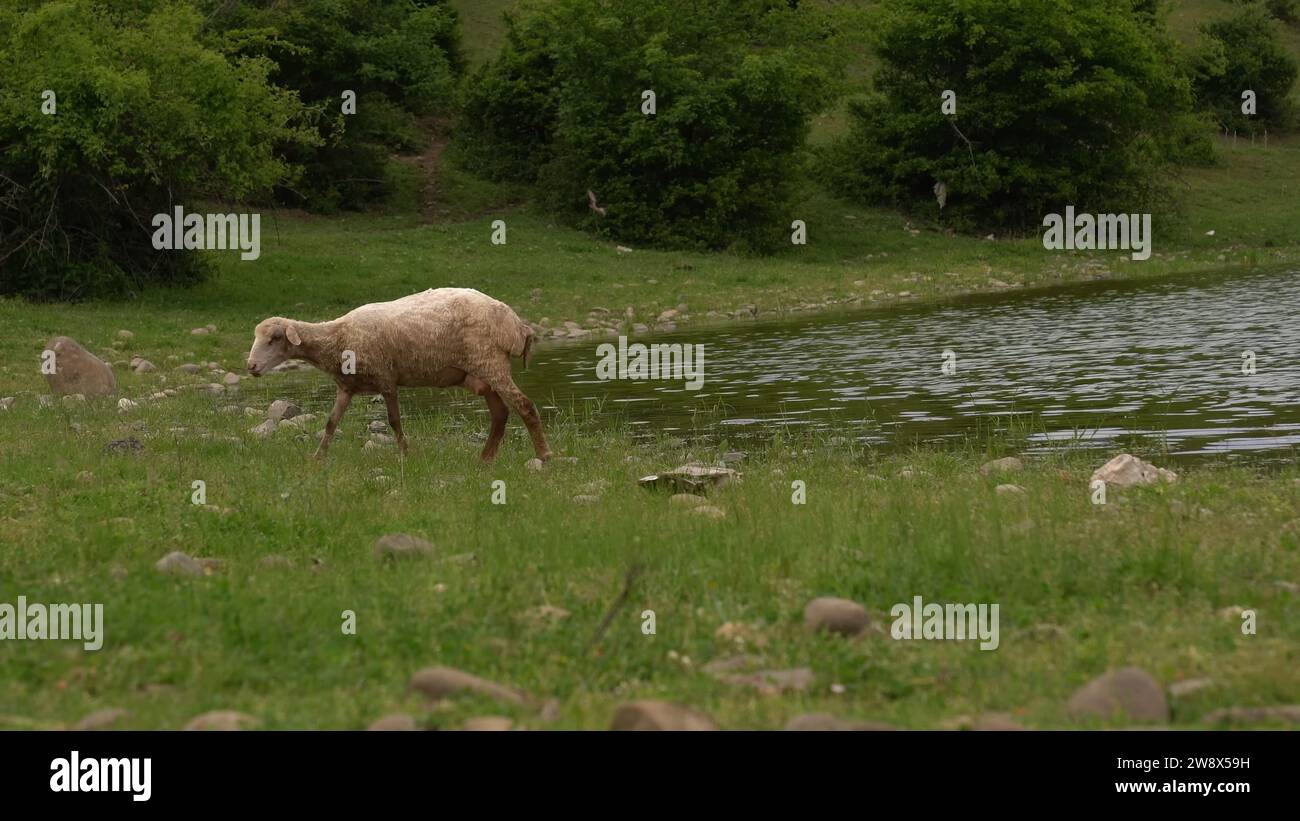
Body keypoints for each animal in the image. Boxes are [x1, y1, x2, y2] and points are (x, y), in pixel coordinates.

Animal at [245, 287, 551, 462]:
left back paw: (543, 456)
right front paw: (318, 458)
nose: (251, 367)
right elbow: (331, 423)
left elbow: (394, 421)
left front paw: (405, 454)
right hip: (482, 373)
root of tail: (517, 325)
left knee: (525, 406)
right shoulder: (346, 387)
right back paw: (485, 459)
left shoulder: (386, 378)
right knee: (500, 414)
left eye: (274, 338)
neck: (337, 337)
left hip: (491, 362)